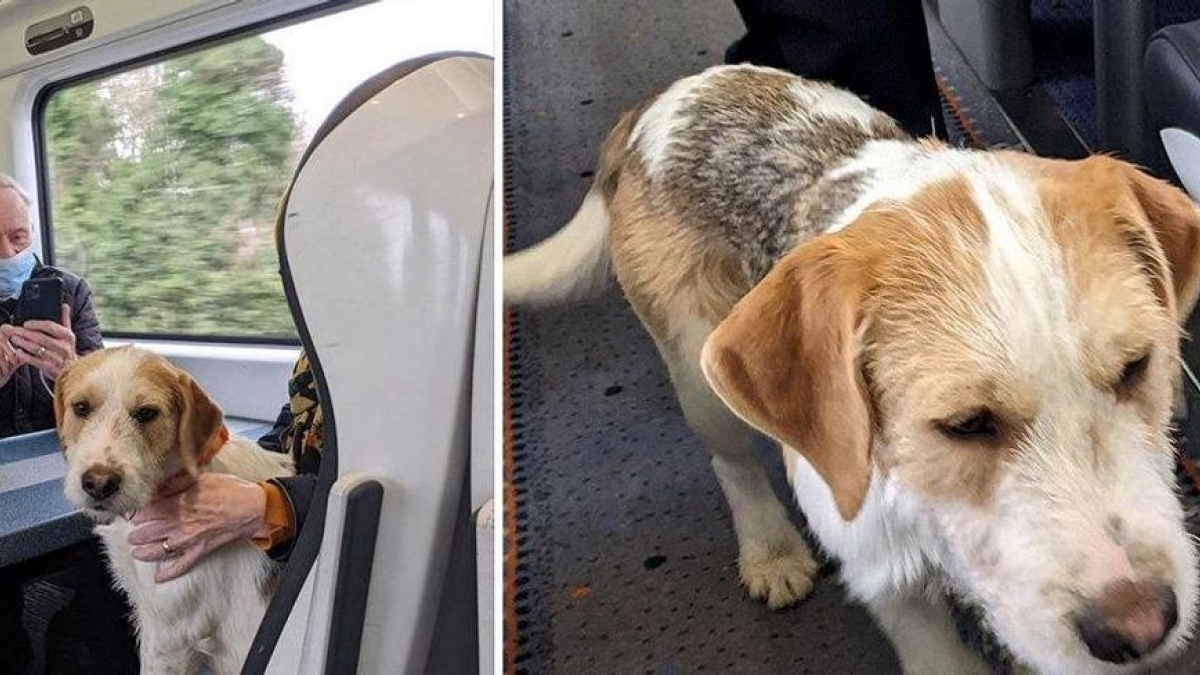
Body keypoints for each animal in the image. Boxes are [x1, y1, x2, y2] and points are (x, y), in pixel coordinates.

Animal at [506, 64, 1200, 672]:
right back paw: (770, 550)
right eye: (965, 424)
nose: (1141, 627)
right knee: (731, 462)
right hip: (698, 373)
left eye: (1136, 366)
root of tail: (660, 102)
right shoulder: (888, 581)